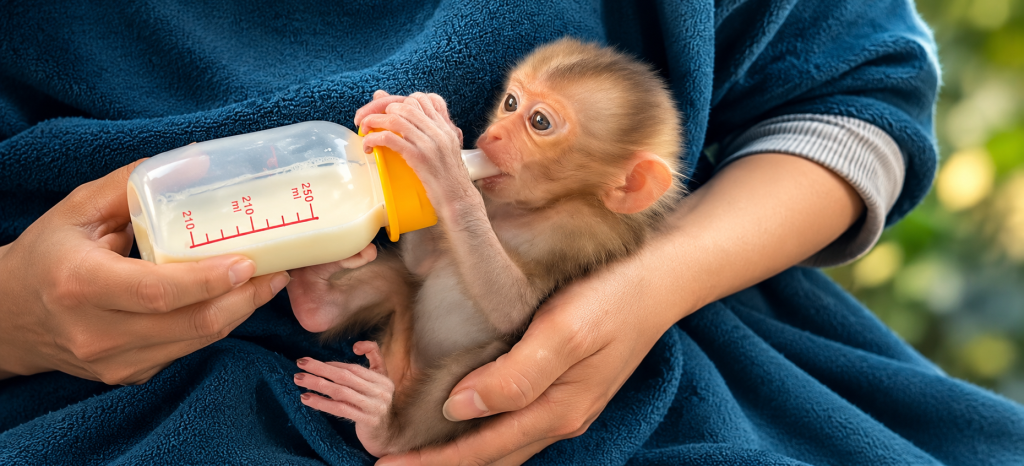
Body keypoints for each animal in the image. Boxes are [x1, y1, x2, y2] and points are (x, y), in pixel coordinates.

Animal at [286, 38, 684, 457]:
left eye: (539, 122)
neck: (526, 209)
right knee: (397, 282)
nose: (491, 136)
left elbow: (513, 311)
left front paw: (444, 163)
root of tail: (401, 376)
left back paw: (380, 425)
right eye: (510, 102)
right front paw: (413, 116)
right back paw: (316, 299)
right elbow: (421, 264)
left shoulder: (581, 234)